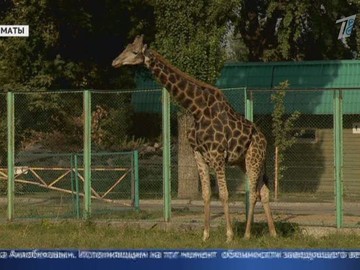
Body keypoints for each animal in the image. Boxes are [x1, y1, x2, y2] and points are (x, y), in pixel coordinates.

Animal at [112, 34, 278, 242]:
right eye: (125, 47)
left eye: (135, 52)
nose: (115, 62)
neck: (197, 110)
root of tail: (265, 140)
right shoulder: (198, 154)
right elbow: (206, 194)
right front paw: (205, 235)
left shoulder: (217, 154)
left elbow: (224, 194)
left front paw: (229, 235)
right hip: (246, 161)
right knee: (264, 191)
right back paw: (273, 232)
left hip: (253, 159)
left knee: (254, 193)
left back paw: (247, 235)